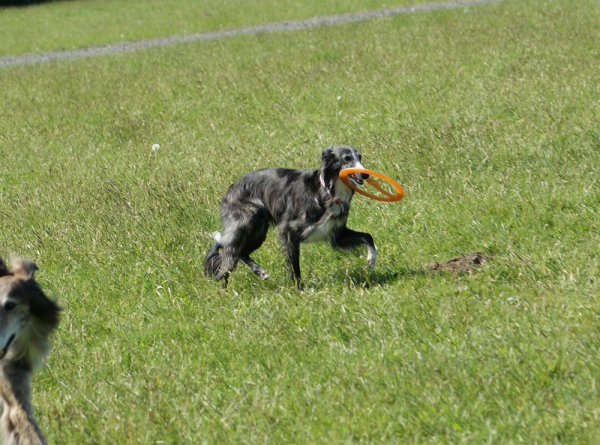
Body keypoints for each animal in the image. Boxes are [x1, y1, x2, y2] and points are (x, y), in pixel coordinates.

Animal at [204, 145, 377, 288]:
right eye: (346, 158)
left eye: (360, 157)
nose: (365, 175)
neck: (326, 191)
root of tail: (232, 187)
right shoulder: (289, 232)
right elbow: (295, 265)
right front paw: (299, 290)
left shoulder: (337, 233)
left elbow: (367, 236)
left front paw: (372, 258)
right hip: (247, 222)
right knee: (230, 255)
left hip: (258, 230)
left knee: (239, 252)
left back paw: (251, 276)